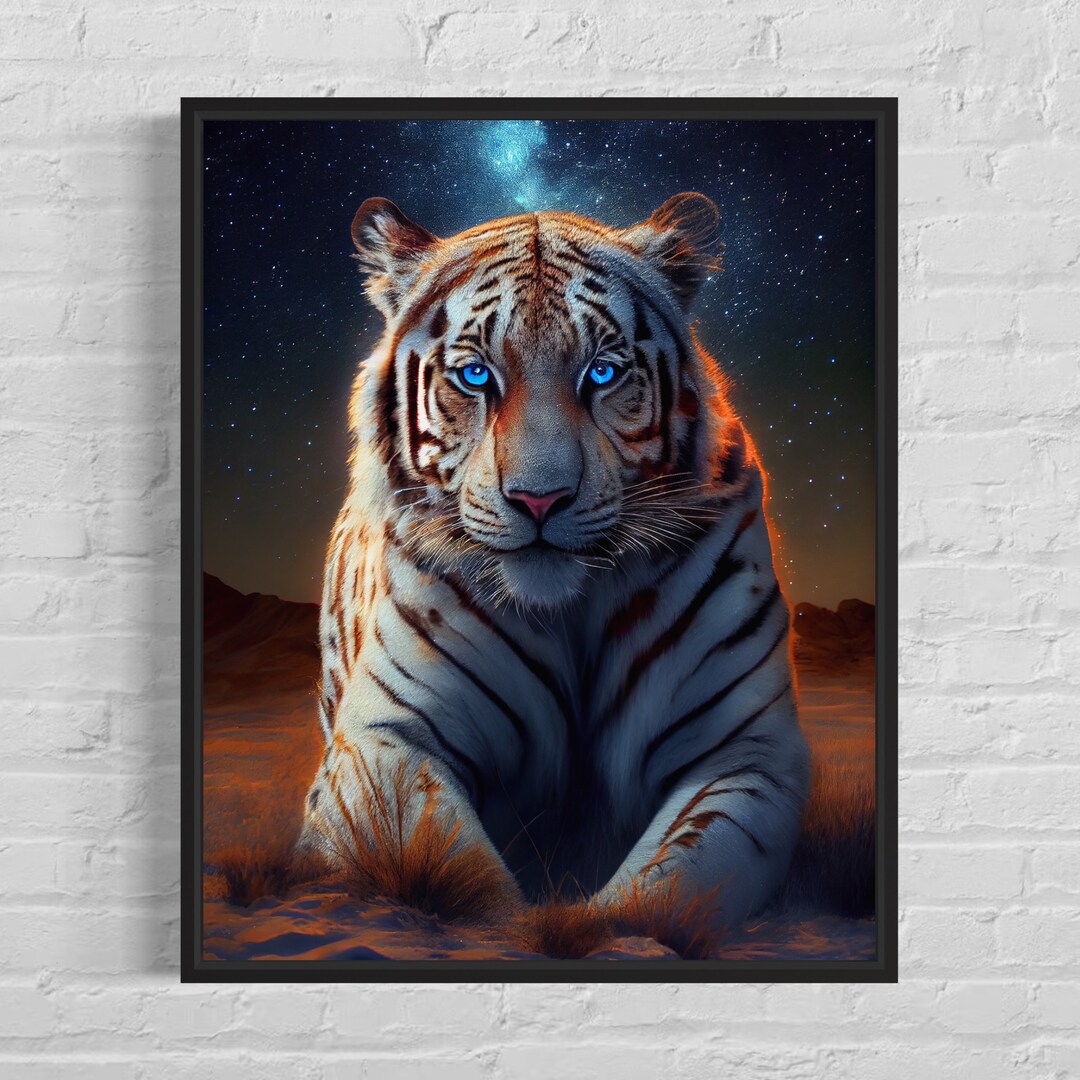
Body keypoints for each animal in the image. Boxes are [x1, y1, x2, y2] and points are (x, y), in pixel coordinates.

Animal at [296, 192, 810, 935]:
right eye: (476, 374)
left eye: (602, 371)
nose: (540, 498)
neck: (569, 612)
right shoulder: (385, 739)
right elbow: (469, 886)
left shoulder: (747, 751)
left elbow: (658, 893)